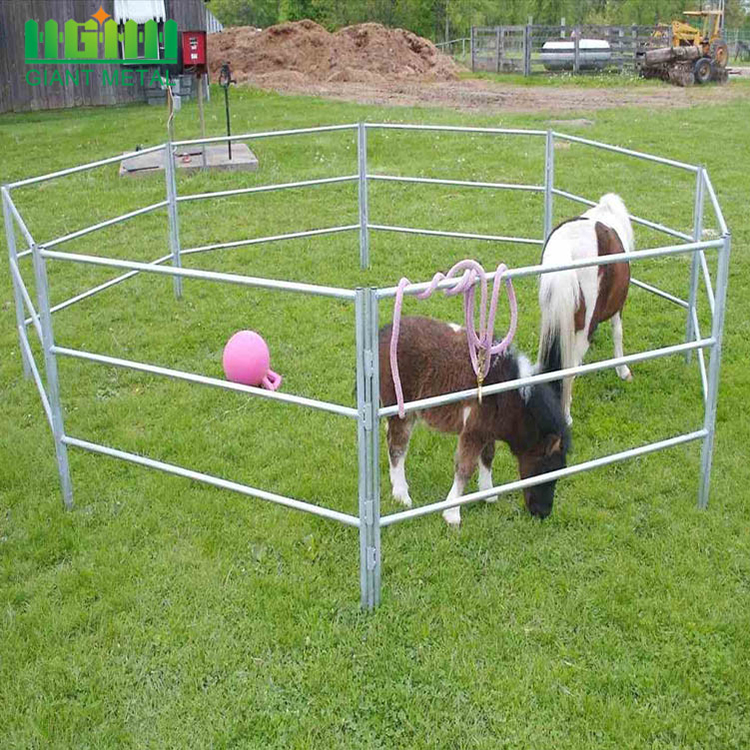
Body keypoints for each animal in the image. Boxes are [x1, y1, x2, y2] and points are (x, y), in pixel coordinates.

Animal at [382, 318, 568, 528]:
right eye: (545, 469)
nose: (543, 513)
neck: (506, 394)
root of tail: (384, 331)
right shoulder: (473, 430)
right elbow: (465, 467)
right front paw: (452, 514)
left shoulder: (488, 429)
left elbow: (487, 456)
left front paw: (488, 493)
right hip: (400, 410)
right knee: (397, 447)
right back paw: (401, 495)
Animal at [536, 194, 636, 426]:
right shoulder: (617, 308)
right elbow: (618, 333)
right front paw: (623, 371)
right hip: (585, 325)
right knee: (569, 368)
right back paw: (566, 416)